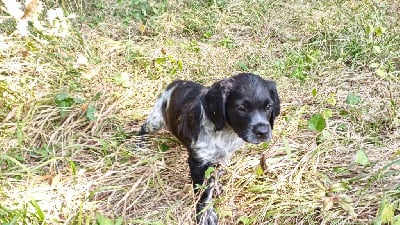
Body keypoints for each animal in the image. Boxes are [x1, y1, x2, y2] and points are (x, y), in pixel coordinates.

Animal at [139, 73, 280, 224]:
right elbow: (203, 193)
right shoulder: (198, 163)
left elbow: (213, 178)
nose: (263, 132)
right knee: (143, 127)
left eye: (268, 106)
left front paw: (216, 188)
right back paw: (139, 144)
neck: (225, 132)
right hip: (156, 120)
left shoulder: (221, 158)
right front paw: (204, 215)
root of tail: (175, 83)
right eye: (241, 108)